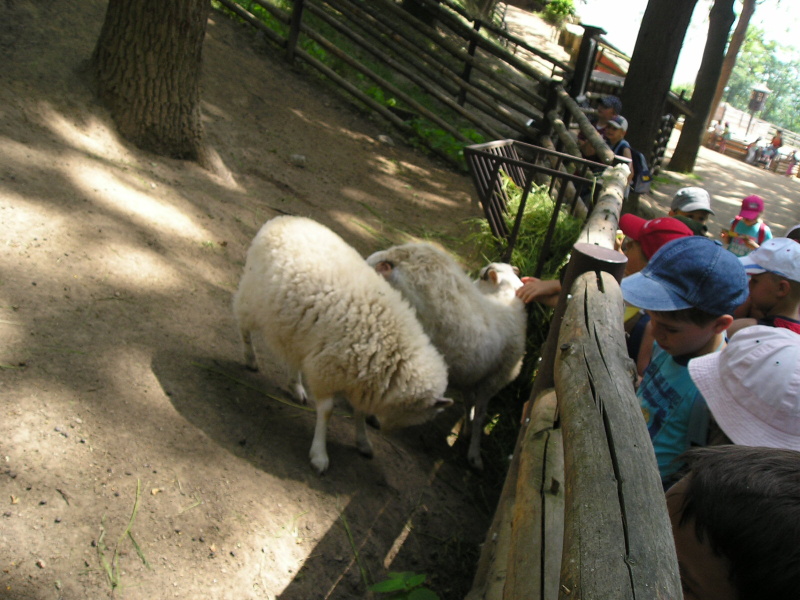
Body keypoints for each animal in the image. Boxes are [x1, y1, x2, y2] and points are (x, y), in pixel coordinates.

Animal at [232, 216, 452, 474]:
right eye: (422, 413)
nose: (383, 429)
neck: (393, 348)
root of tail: (284, 219)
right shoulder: (327, 370)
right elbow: (327, 412)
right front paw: (319, 454)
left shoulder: (362, 378)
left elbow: (360, 413)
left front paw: (363, 441)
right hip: (252, 298)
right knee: (243, 325)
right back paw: (250, 358)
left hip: (294, 326)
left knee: (293, 356)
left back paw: (295, 386)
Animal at [366, 243, 527, 470]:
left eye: (481, 277)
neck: (505, 301)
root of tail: (395, 257)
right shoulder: (492, 381)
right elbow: (480, 416)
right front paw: (475, 456)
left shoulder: (473, 377)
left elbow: (469, 404)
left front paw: (466, 430)